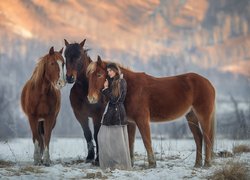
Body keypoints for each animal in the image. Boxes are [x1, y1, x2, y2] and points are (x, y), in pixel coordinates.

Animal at [87, 56, 216, 167]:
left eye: (99, 74)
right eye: (89, 76)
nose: (91, 98)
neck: (130, 87)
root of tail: (208, 83)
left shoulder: (142, 119)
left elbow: (146, 140)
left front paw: (152, 163)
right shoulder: (130, 122)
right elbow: (130, 142)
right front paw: (131, 163)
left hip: (203, 115)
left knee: (207, 137)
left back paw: (207, 163)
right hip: (191, 116)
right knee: (198, 137)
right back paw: (198, 164)